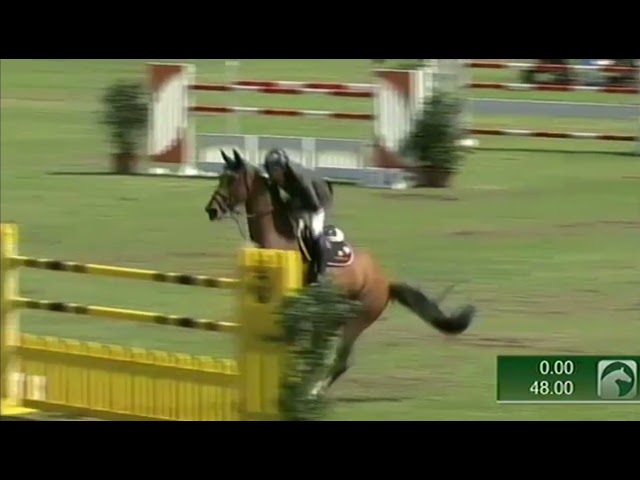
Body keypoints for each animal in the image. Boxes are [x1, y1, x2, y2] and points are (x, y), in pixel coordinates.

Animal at [204, 149, 476, 398]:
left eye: (231, 180)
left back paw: (312, 391)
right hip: (332, 317)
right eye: (220, 177)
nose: (211, 211)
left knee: (340, 360)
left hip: (356, 320)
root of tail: (386, 282)